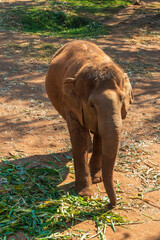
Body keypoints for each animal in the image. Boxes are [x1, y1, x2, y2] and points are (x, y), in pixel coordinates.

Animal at [45, 40, 132, 207]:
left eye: (122, 99)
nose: (109, 204)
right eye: (92, 105)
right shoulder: (71, 105)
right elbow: (78, 138)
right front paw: (85, 195)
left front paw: (96, 179)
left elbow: (100, 135)